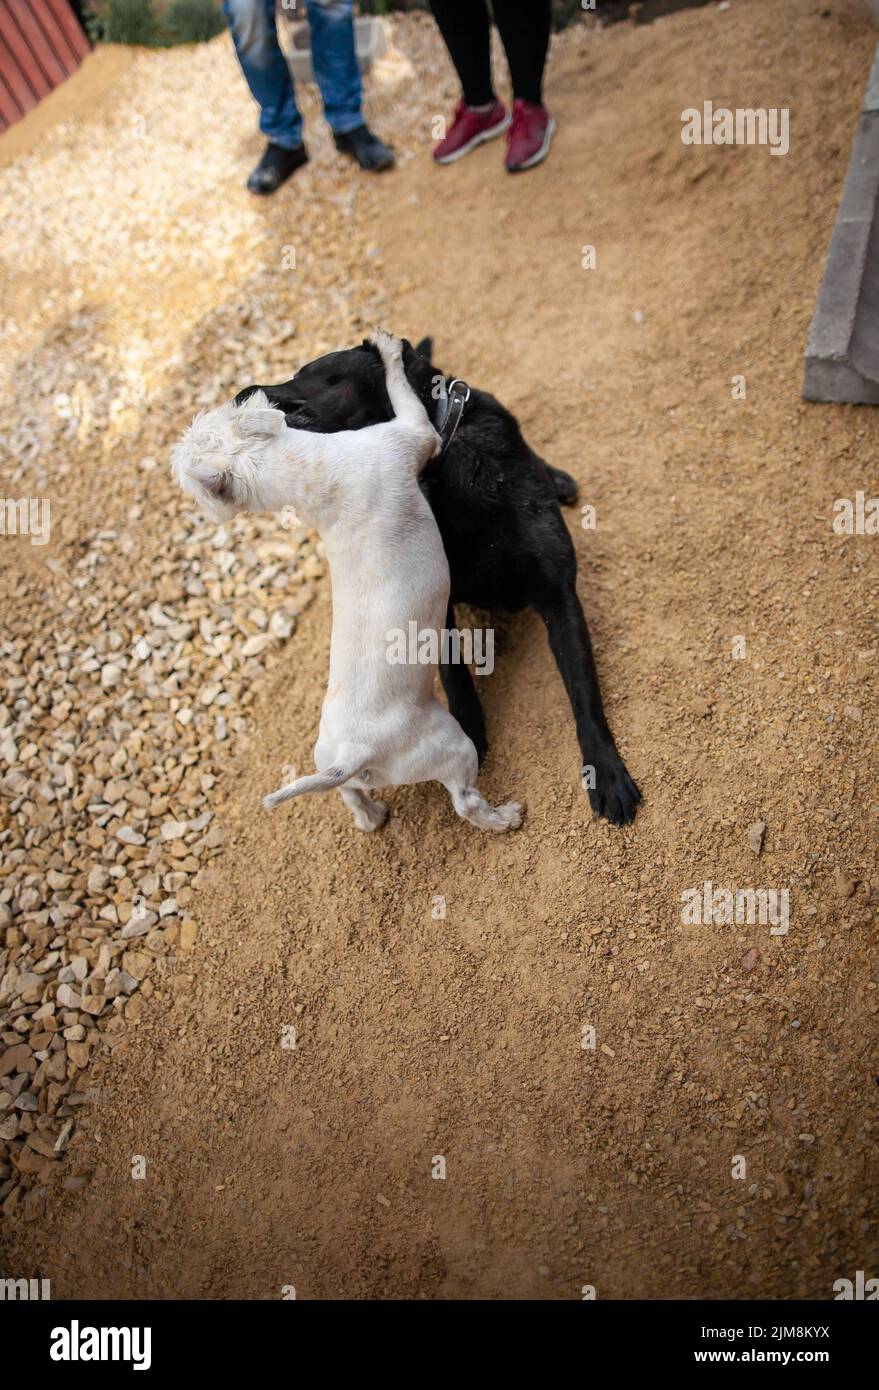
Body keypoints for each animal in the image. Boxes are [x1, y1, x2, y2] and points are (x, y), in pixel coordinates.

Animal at [173, 333, 522, 834]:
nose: (244, 391)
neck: (296, 475)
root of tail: (357, 754)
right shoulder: (413, 432)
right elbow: (401, 390)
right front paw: (387, 349)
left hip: (332, 764)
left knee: (351, 796)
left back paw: (372, 816)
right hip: (453, 747)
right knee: (465, 802)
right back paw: (506, 817)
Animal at [236, 337, 642, 822]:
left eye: (309, 372)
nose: (241, 393)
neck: (444, 461)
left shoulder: (559, 596)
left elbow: (584, 692)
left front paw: (606, 772)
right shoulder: (440, 605)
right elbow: (455, 674)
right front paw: (470, 729)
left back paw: (557, 478)